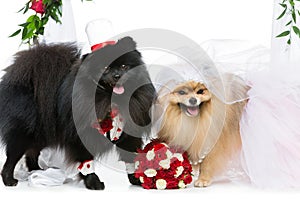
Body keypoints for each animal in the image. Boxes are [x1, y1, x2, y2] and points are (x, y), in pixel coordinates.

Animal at [0, 36, 156, 190]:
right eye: (105, 69)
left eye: (124, 66)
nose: (117, 75)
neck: (111, 101)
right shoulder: (83, 135)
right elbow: (86, 161)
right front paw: (93, 182)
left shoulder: (129, 133)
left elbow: (130, 158)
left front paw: (135, 179)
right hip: (23, 132)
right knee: (12, 156)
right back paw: (9, 180)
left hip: (41, 132)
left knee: (32, 153)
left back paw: (36, 170)